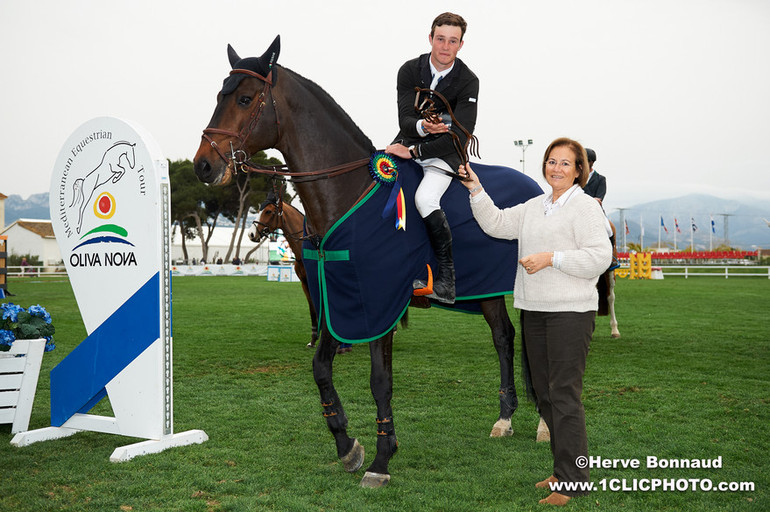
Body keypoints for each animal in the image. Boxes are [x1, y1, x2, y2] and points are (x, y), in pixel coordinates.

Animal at [248, 192, 316, 348]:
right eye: (260, 209)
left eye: (268, 211)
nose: (251, 234)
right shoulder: (305, 284)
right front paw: (313, 340)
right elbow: (312, 309)